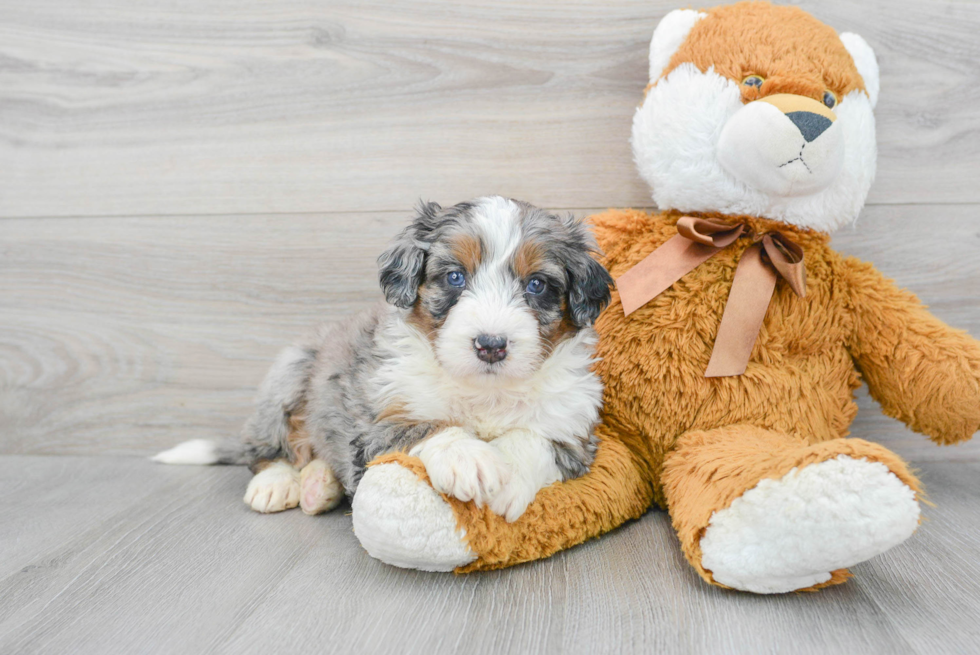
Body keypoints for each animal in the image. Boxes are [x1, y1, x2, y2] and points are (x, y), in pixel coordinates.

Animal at [153, 197, 612, 524]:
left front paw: (508, 476)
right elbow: (427, 425)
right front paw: (470, 460)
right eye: (455, 277)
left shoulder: (573, 430)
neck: (484, 390)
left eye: (537, 285)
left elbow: (531, 438)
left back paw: (318, 484)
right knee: (266, 450)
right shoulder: (374, 424)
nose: (491, 345)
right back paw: (277, 484)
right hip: (289, 374)